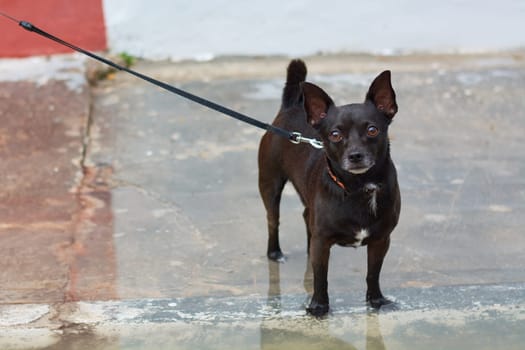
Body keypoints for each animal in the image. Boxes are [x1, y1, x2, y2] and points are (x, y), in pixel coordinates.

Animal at [256, 60, 400, 318]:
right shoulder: (323, 242)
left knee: (306, 217)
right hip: (270, 186)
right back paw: (275, 253)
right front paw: (319, 307)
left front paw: (376, 300)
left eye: (372, 130)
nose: (355, 155)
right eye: (335, 135)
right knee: (273, 221)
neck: (358, 187)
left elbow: (373, 273)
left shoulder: (381, 240)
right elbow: (321, 277)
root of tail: (290, 108)